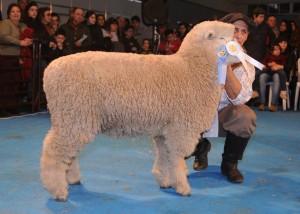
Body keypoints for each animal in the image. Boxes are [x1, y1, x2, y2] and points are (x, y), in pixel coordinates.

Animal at [40, 20, 237, 201]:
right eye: (222, 38)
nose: (240, 48)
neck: (192, 68)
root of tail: (49, 71)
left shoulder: (164, 130)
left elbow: (165, 155)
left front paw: (164, 180)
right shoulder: (180, 127)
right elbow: (176, 157)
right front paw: (182, 186)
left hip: (71, 118)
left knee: (68, 153)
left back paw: (71, 179)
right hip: (74, 114)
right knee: (53, 151)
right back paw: (57, 190)